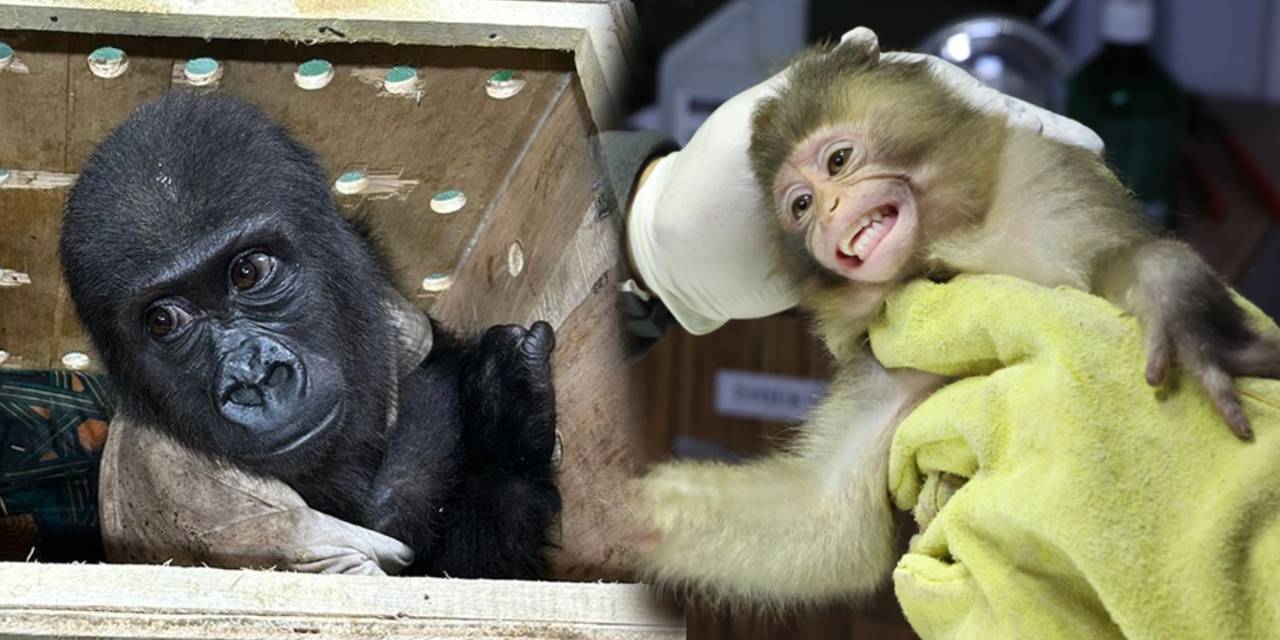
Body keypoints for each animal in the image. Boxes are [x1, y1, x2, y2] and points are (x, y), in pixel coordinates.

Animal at [61, 91, 560, 581]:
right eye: (164, 321)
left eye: (248, 272)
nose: (253, 377)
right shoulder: (238, 513)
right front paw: (506, 427)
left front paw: (503, 410)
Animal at [640, 28, 1280, 609]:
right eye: (799, 206)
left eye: (838, 161)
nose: (826, 210)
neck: (939, 252)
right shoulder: (880, 356)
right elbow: (827, 524)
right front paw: (627, 512)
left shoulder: (1051, 191)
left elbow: (1133, 260)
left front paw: (1187, 325)